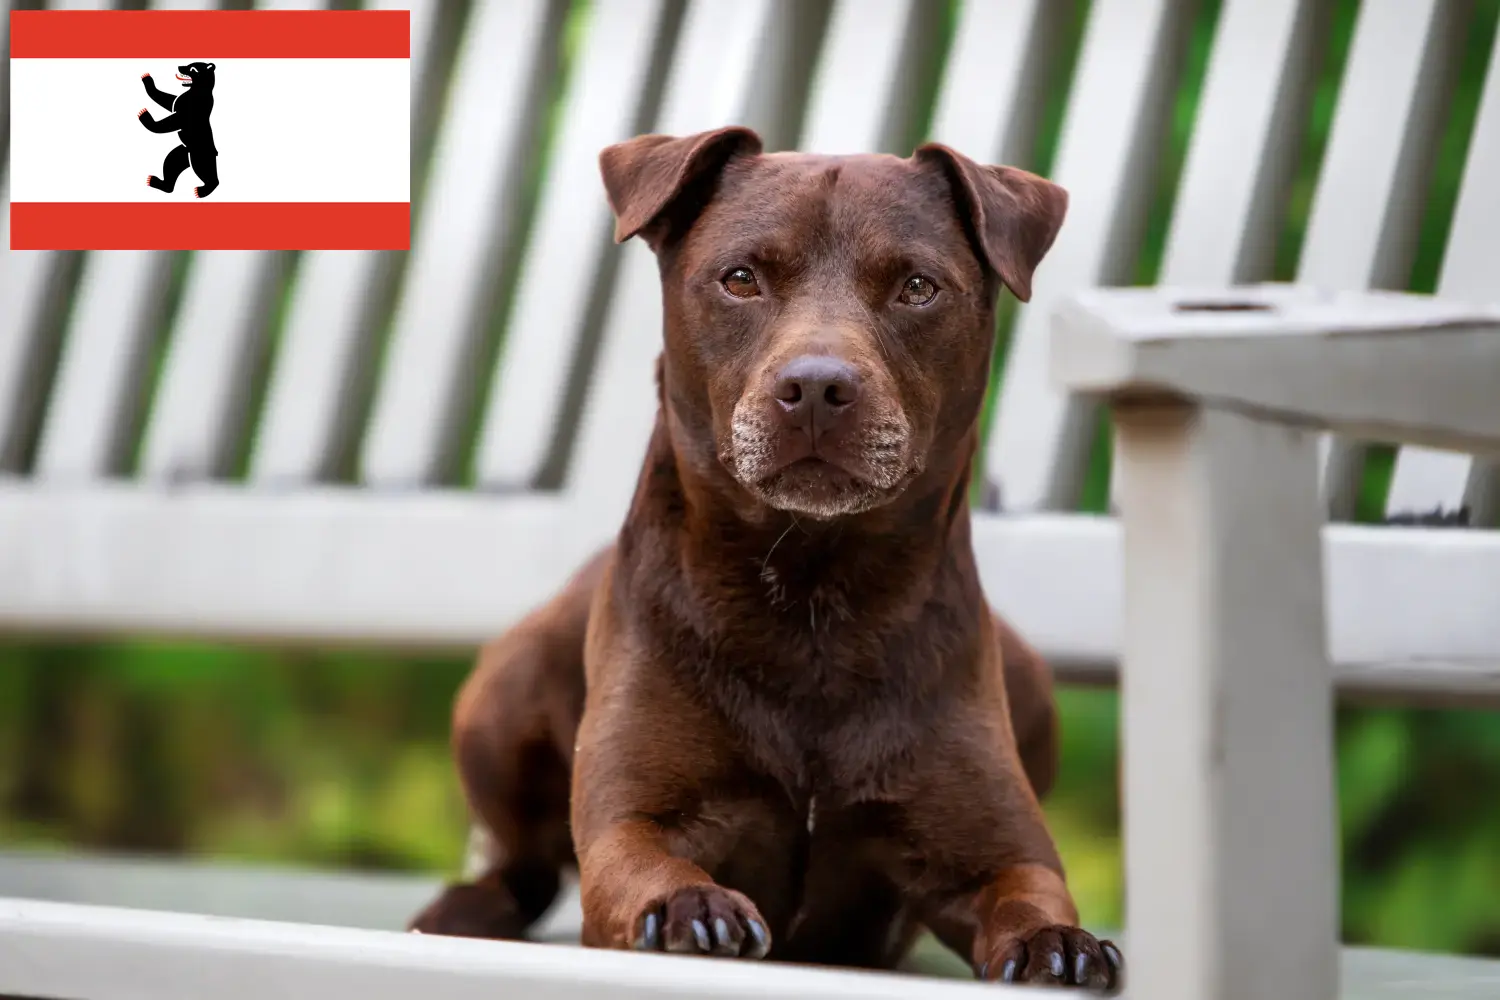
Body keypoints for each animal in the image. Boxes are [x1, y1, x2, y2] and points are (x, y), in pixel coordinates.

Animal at [411, 127, 1128, 995]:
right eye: (741, 278)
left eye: (918, 287)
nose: (817, 386)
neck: (814, 595)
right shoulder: (632, 819)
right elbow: (644, 865)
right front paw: (688, 905)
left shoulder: (998, 850)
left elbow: (1031, 892)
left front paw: (1061, 942)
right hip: (502, 693)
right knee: (523, 864)